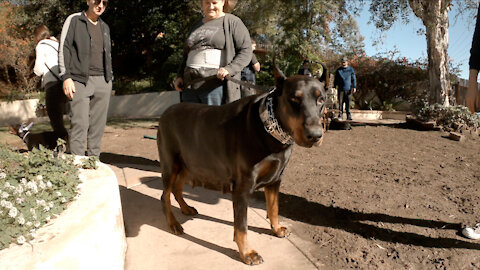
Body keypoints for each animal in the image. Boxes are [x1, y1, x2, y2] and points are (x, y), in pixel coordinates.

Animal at [157, 65, 326, 264]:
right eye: (294, 99)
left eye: (321, 99)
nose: (315, 135)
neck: (270, 128)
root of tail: (166, 111)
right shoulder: (242, 187)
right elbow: (241, 226)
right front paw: (247, 253)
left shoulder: (276, 179)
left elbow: (274, 207)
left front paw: (276, 228)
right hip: (171, 164)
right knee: (165, 195)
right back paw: (173, 223)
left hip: (188, 163)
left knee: (177, 189)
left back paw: (185, 208)